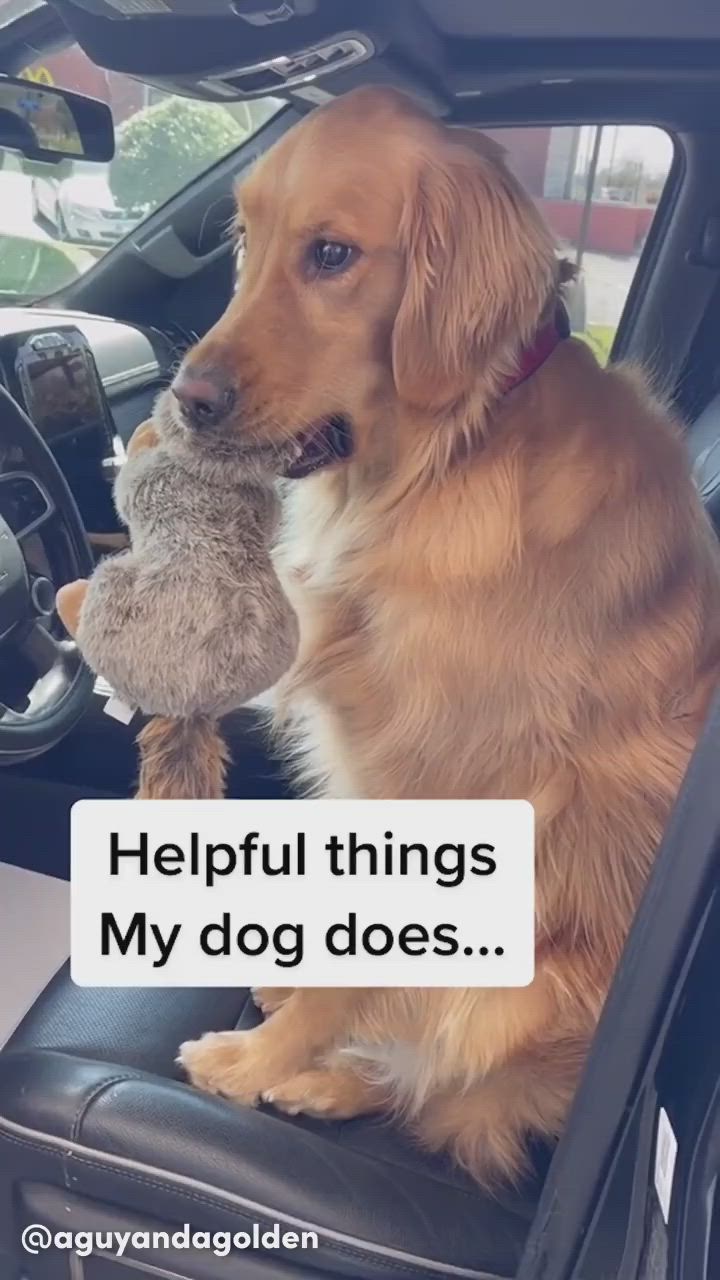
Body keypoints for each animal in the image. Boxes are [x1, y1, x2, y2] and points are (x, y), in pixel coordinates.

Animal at [176, 87, 717, 1187]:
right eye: (248, 239)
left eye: (333, 254)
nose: (185, 399)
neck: (445, 460)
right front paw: (289, 1029)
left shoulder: (449, 793)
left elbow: (359, 972)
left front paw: (256, 1059)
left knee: (453, 1089)